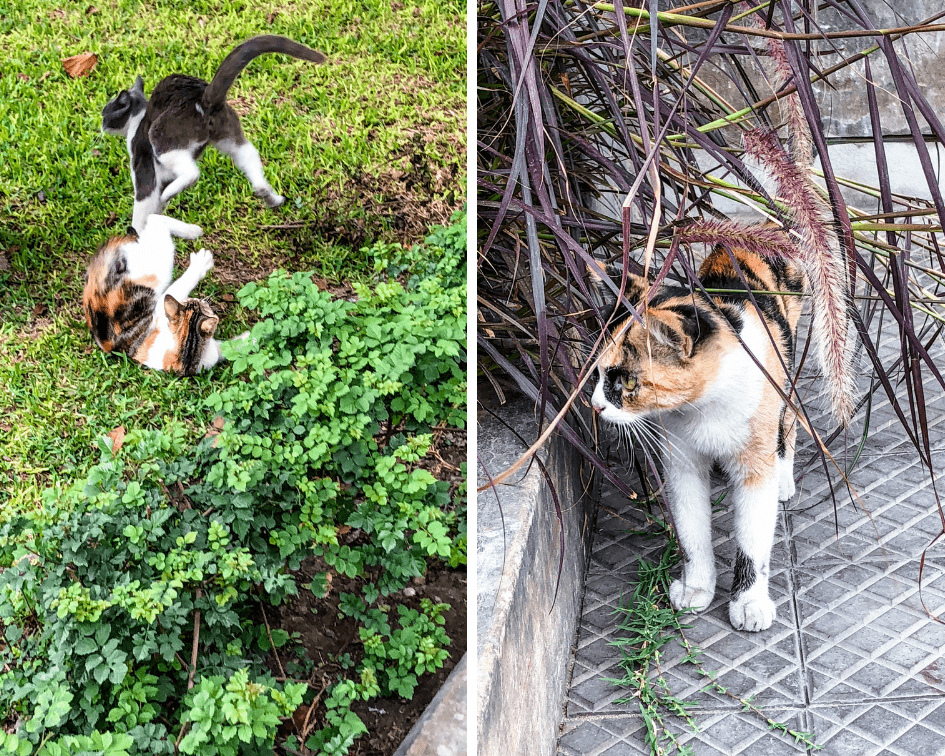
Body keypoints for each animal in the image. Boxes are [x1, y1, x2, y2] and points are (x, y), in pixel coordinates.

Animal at [101, 35, 326, 230]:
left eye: (105, 113)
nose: (101, 124)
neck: (137, 118)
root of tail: (202, 98)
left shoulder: (143, 163)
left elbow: (144, 203)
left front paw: (137, 233)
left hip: (161, 135)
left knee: (192, 173)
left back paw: (172, 192)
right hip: (226, 132)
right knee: (247, 155)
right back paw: (271, 197)